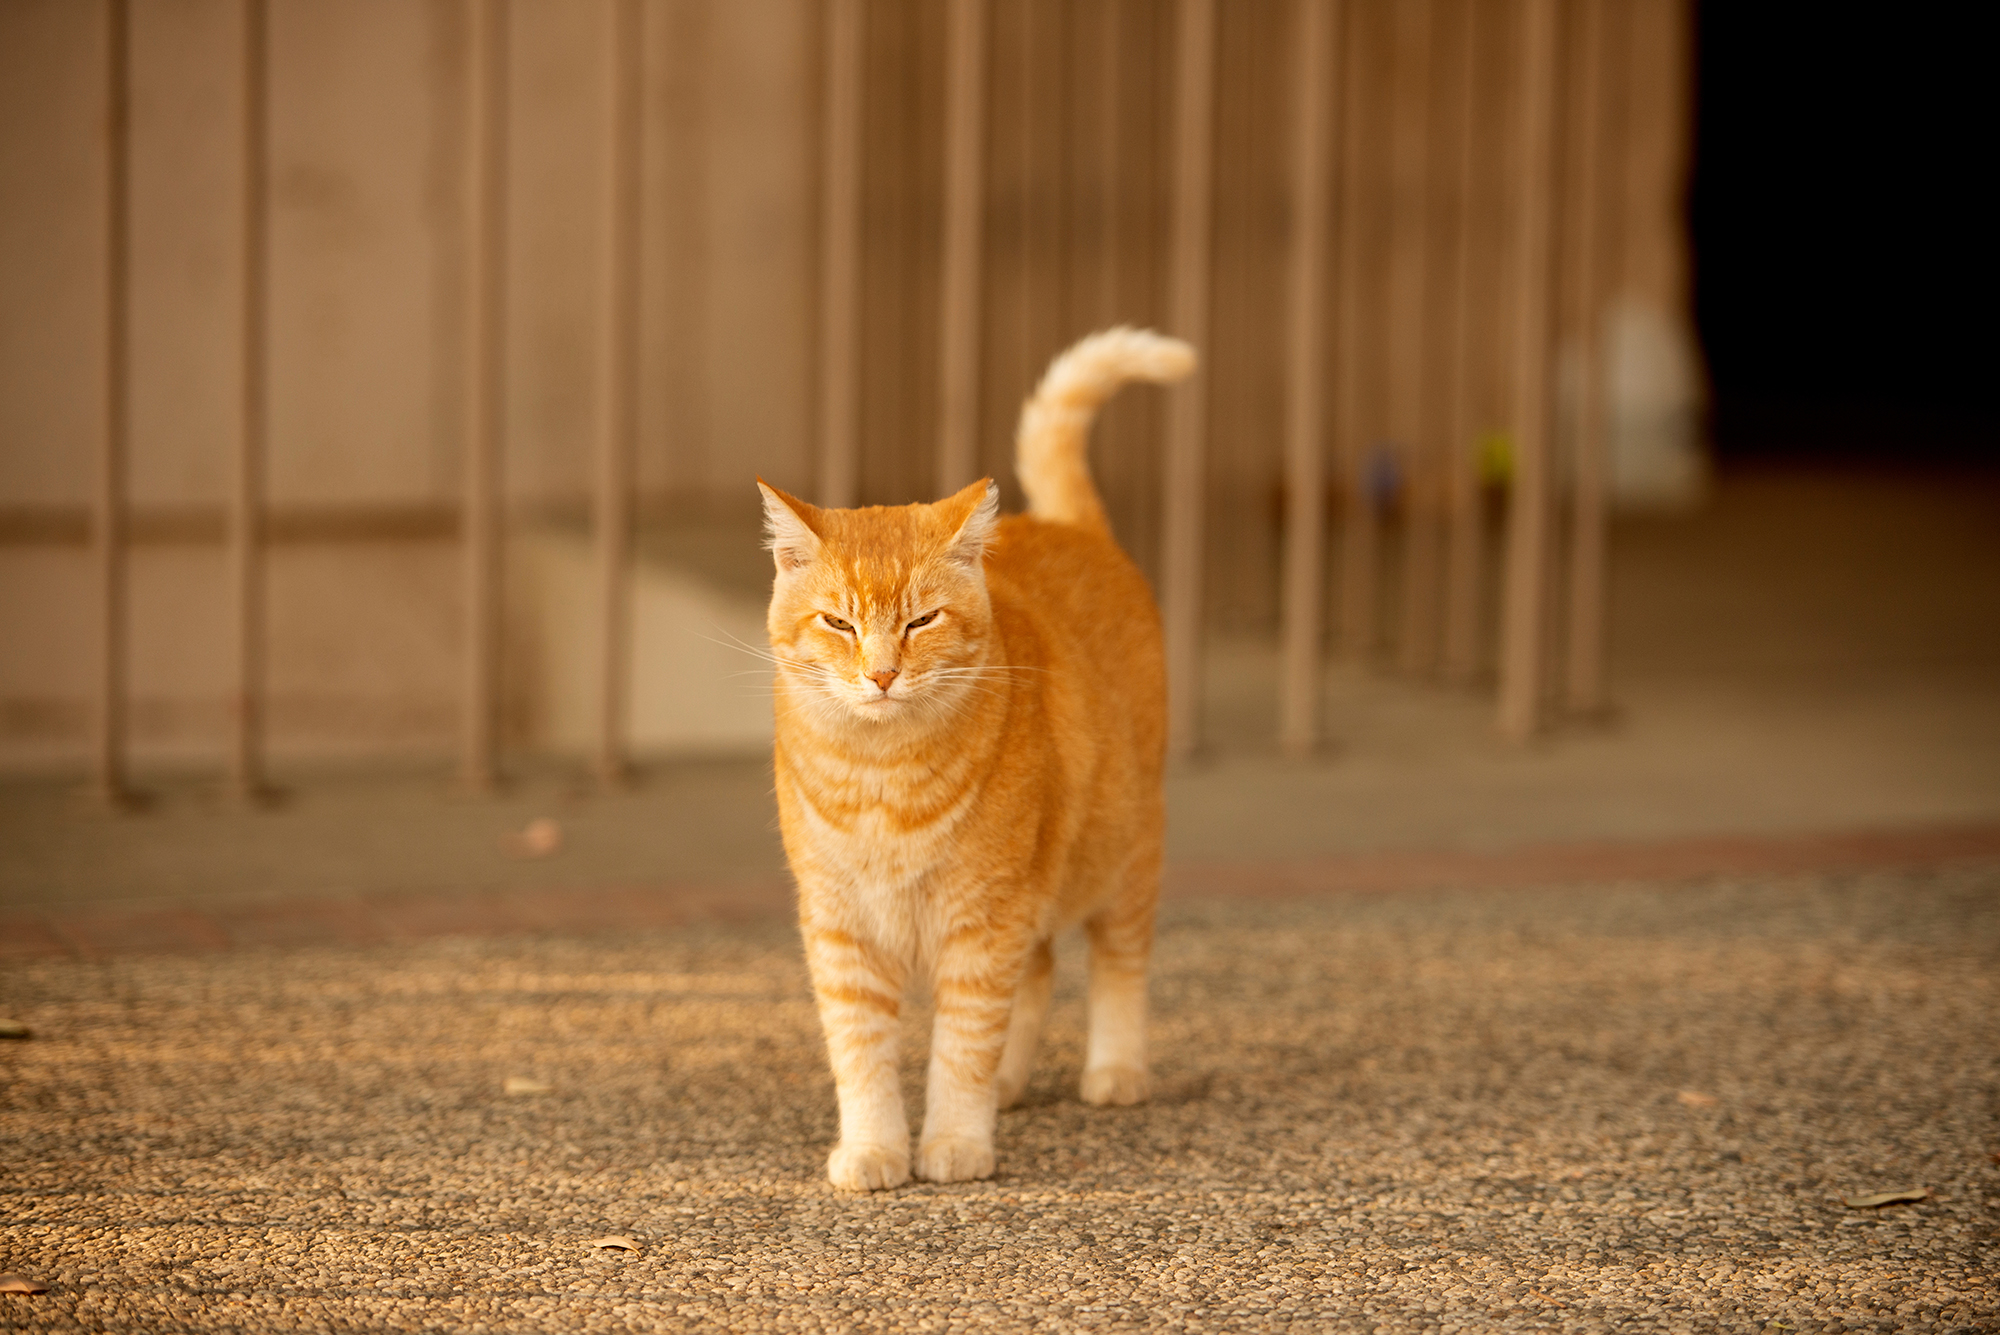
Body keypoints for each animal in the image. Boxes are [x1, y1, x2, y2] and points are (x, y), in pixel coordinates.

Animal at [752, 327, 1184, 1183]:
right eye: (839, 623)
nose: (882, 674)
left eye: (921, 621)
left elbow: (963, 1044)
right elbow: (863, 1054)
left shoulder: (984, 918)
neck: (879, 777)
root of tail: (1070, 526)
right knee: (1040, 971)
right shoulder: (841, 929)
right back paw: (1012, 1085)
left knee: (1117, 964)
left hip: (1123, 856)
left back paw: (1114, 1070)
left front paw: (954, 1139)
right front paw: (876, 1148)